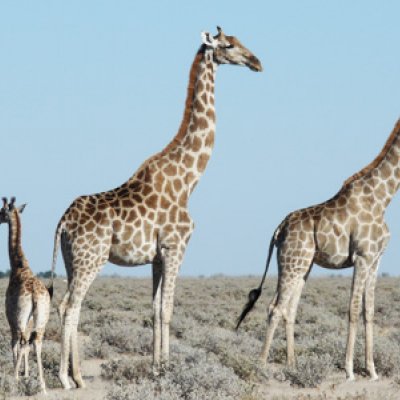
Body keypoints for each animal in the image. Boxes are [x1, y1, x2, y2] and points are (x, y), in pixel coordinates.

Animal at [0, 198, 52, 394]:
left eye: (2, 211)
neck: (19, 265)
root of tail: (35, 295)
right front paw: (26, 375)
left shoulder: (11, 318)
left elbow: (13, 343)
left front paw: (18, 375)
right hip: (42, 319)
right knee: (36, 342)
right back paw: (43, 386)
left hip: (21, 318)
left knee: (22, 342)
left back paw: (14, 379)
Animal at [50, 26, 262, 390]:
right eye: (229, 45)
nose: (256, 62)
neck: (188, 180)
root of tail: (63, 222)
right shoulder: (176, 247)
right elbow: (167, 310)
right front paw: (167, 370)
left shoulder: (157, 256)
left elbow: (153, 309)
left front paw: (155, 368)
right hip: (91, 258)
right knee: (69, 305)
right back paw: (66, 378)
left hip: (70, 259)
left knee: (71, 305)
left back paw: (78, 376)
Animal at [236, 119, 400, 382]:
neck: (381, 199)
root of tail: (278, 230)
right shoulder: (362, 257)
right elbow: (353, 309)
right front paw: (350, 371)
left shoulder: (376, 259)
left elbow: (369, 311)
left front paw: (372, 371)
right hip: (293, 263)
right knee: (276, 308)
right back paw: (260, 365)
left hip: (302, 266)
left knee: (289, 309)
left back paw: (293, 365)